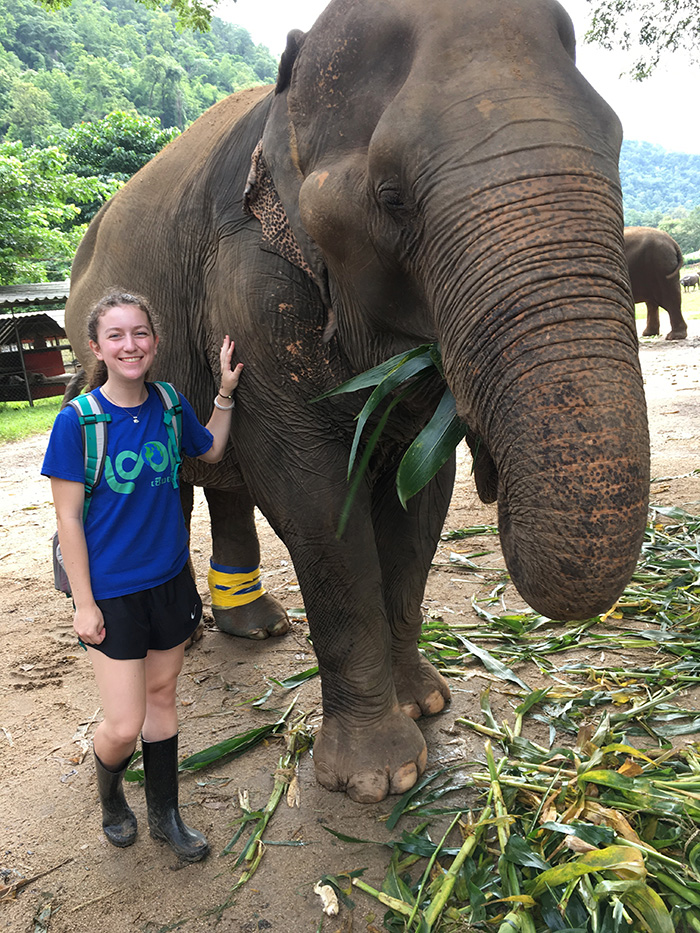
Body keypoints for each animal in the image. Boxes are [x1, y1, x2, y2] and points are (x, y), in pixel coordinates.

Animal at [64, 0, 650, 803]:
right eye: (391, 195)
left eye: (617, 144)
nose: (497, 474)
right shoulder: (249, 285)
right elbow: (314, 501)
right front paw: (378, 779)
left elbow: (417, 494)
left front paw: (426, 703)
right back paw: (186, 633)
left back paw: (253, 626)